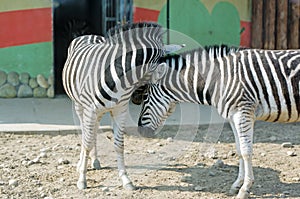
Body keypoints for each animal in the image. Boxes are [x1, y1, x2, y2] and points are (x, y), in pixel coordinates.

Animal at [61, 22, 171, 190]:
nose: (137, 99)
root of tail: (89, 35)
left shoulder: (120, 110)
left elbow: (119, 145)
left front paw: (126, 180)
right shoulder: (90, 110)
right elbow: (86, 143)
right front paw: (82, 179)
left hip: (98, 111)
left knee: (93, 130)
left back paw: (95, 160)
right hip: (80, 105)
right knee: (84, 132)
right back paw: (81, 164)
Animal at [138, 47, 300, 198]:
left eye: (145, 96)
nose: (140, 131)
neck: (219, 79)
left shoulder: (243, 112)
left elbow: (246, 151)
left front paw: (245, 188)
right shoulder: (233, 116)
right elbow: (239, 150)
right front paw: (236, 185)